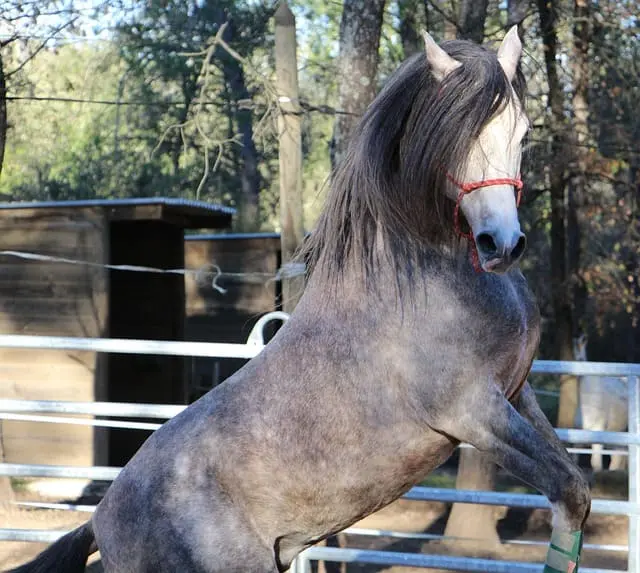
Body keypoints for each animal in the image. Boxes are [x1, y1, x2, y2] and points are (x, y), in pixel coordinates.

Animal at [10, 27, 590, 573]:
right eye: (453, 134)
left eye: (523, 132)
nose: (501, 244)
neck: (420, 280)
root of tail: (97, 521)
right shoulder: (472, 411)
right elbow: (567, 490)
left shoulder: (516, 395)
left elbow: (576, 493)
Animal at [573, 333, 628, 471]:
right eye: (574, 350)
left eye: (583, 348)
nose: (579, 360)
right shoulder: (578, 436)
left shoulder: (598, 434)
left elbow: (596, 464)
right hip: (617, 433)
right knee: (618, 458)